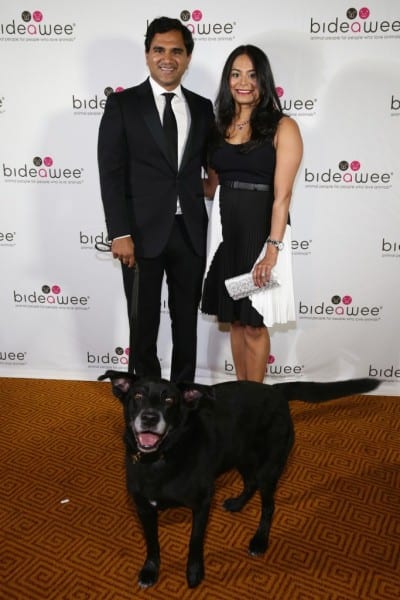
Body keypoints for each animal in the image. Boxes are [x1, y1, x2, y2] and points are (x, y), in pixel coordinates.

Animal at [98, 372, 380, 588]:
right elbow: (152, 544)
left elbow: (195, 541)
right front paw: (150, 570)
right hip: (240, 455)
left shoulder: (202, 504)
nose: (149, 417)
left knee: (269, 505)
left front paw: (194, 572)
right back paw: (237, 504)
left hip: (269, 468)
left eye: (169, 399)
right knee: (250, 483)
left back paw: (259, 541)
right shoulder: (144, 508)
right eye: (137, 396)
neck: (162, 456)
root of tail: (275, 390)